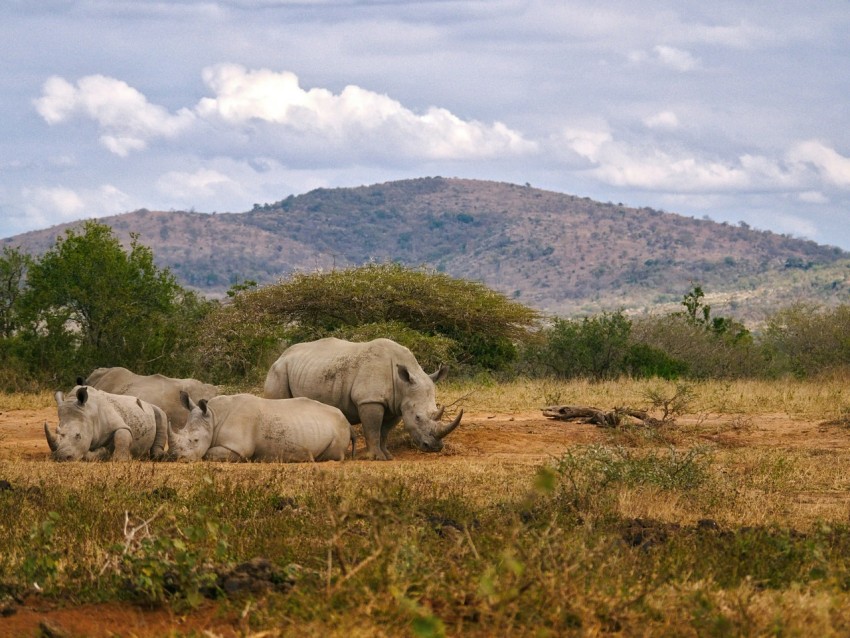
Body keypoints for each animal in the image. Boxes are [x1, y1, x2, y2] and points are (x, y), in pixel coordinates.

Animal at [167, 392, 353, 462]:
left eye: (195, 440)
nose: (175, 457)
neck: (213, 417)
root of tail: (347, 421)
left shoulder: (238, 447)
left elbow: (208, 454)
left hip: (340, 428)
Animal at [263, 337, 462, 461]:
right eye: (418, 417)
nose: (435, 447)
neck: (402, 384)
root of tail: (280, 356)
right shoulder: (369, 400)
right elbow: (372, 429)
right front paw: (376, 458)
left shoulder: (397, 405)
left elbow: (384, 432)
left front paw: (388, 456)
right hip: (278, 371)